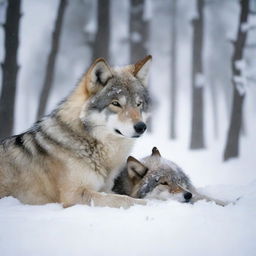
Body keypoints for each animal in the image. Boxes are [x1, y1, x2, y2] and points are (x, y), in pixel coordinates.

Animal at [0, 55, 152, 208]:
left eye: (138, 104)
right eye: (115, 103)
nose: (141, 127)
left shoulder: (104, 188)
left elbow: (119, 195)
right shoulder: (73, 195)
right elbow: (122, 199)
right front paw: (147, 203)